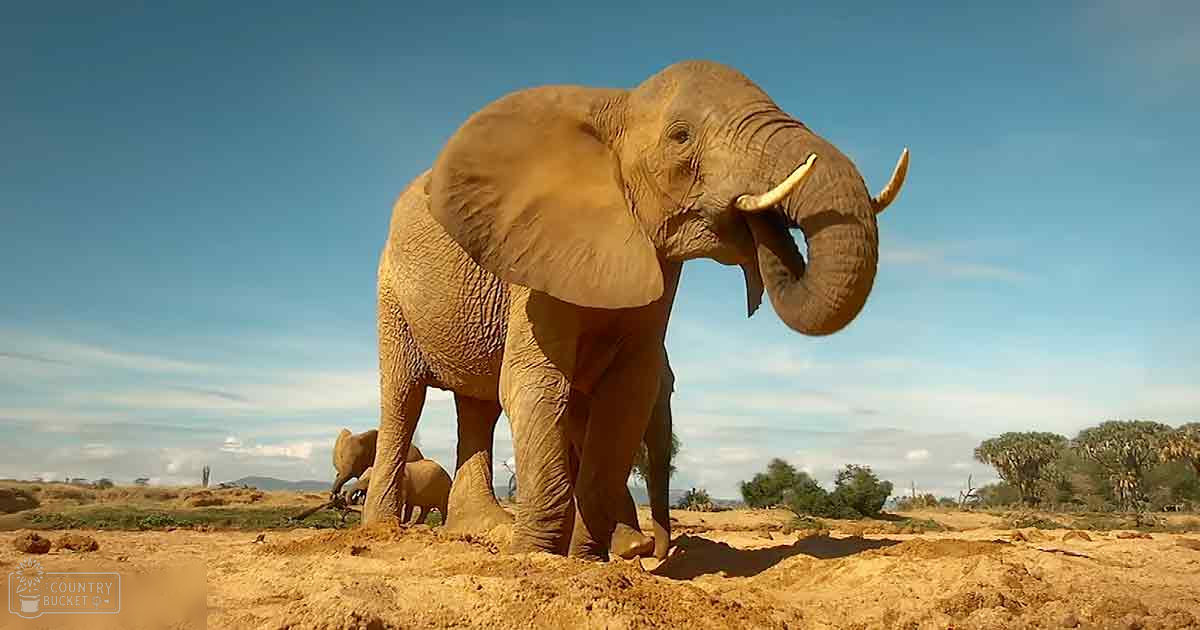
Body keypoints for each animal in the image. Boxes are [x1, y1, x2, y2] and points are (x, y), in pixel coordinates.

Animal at [364, 59, 908, 560]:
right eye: (681, 136)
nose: (759, 232)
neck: (617, 109)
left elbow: (626, 394)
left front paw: (590, 559)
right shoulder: (534, 264)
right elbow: (538, 382)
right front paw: (537, 558)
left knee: (478, 405)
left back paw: (481, 528)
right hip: (390, 293)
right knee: (404, 397)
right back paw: (386, 532)